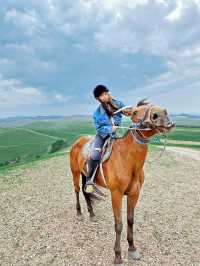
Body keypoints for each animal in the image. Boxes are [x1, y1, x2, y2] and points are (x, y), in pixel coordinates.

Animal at [69, 101, 174, 264]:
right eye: (135, 112)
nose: (162, 115)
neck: (127, 160)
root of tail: (78, 141)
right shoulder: (116, 195)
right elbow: (118, 225)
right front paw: (118, 255)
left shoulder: (134, 194)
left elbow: (130, 220)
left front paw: (132, 248)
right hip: (75, 172)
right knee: (76, 190)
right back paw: (79, 213)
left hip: (85, 175)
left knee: (86, 191)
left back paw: (91, 213)